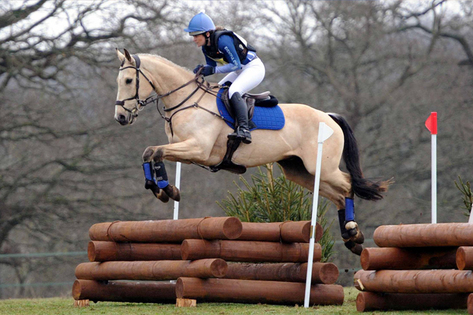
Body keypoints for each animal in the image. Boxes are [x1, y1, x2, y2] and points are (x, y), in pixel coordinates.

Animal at [114, 50, 390, 256]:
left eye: (128, 81)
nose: (120, 118)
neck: (186, 100)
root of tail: (329, 116)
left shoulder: (198, 149)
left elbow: (154, 152)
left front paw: (166, 189)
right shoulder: (186, 151)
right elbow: (151, 152)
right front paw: (161, 188)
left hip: (323, 168)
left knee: (347, 185)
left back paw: (353, 231)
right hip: (299, 171)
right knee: (338, 196)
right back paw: (352, 238)